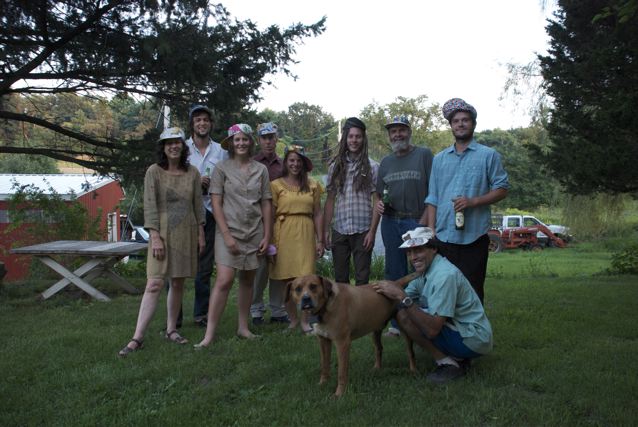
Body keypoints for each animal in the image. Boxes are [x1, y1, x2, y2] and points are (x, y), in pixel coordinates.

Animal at [286, 273, 418, 397]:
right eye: (297, 289)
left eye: (313, 286)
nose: (306, 299)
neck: (325, 308)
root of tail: (395, 283)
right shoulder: (323, 341)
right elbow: (324, 365)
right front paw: (322, 383)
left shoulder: (342, 343)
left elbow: (341, 373)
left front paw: (339, 394)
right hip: (376, 329)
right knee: (379, 348)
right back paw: (377, 368)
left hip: (405, 327)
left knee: (410, 351)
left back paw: (413, 370)